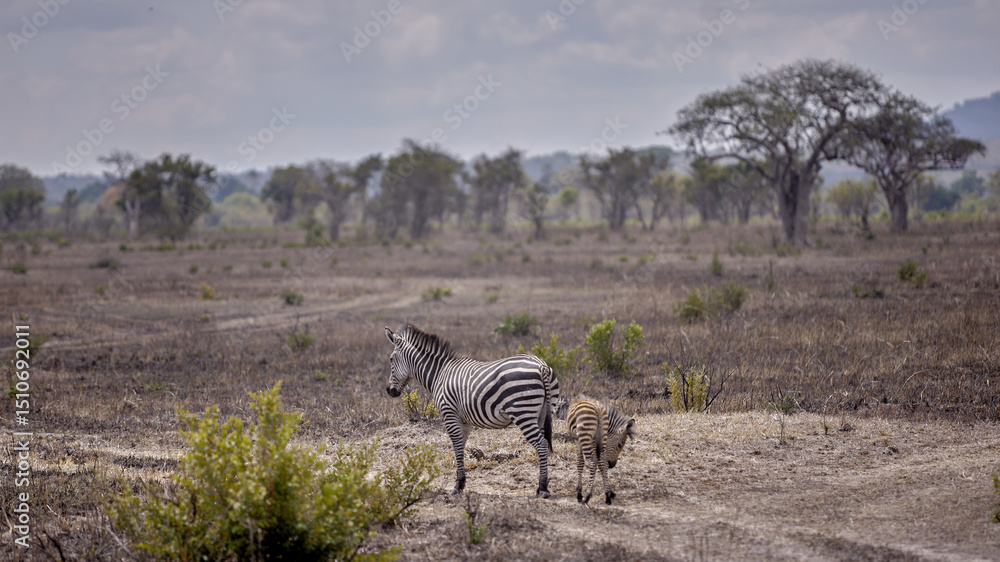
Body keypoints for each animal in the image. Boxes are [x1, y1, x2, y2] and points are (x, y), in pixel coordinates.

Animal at [384, 324, 560, 498]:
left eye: (391, 359)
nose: (389, 391)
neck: (439, 374)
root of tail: (541, 365)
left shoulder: (450, 414)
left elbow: (456, 447)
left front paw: (457, 486)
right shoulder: (465, 421)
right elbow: (461, 447)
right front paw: (461, 483)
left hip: (523, 413)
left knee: (541, 444)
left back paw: (542, 489)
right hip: (545, 412)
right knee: (544, 442)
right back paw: (542, 486)